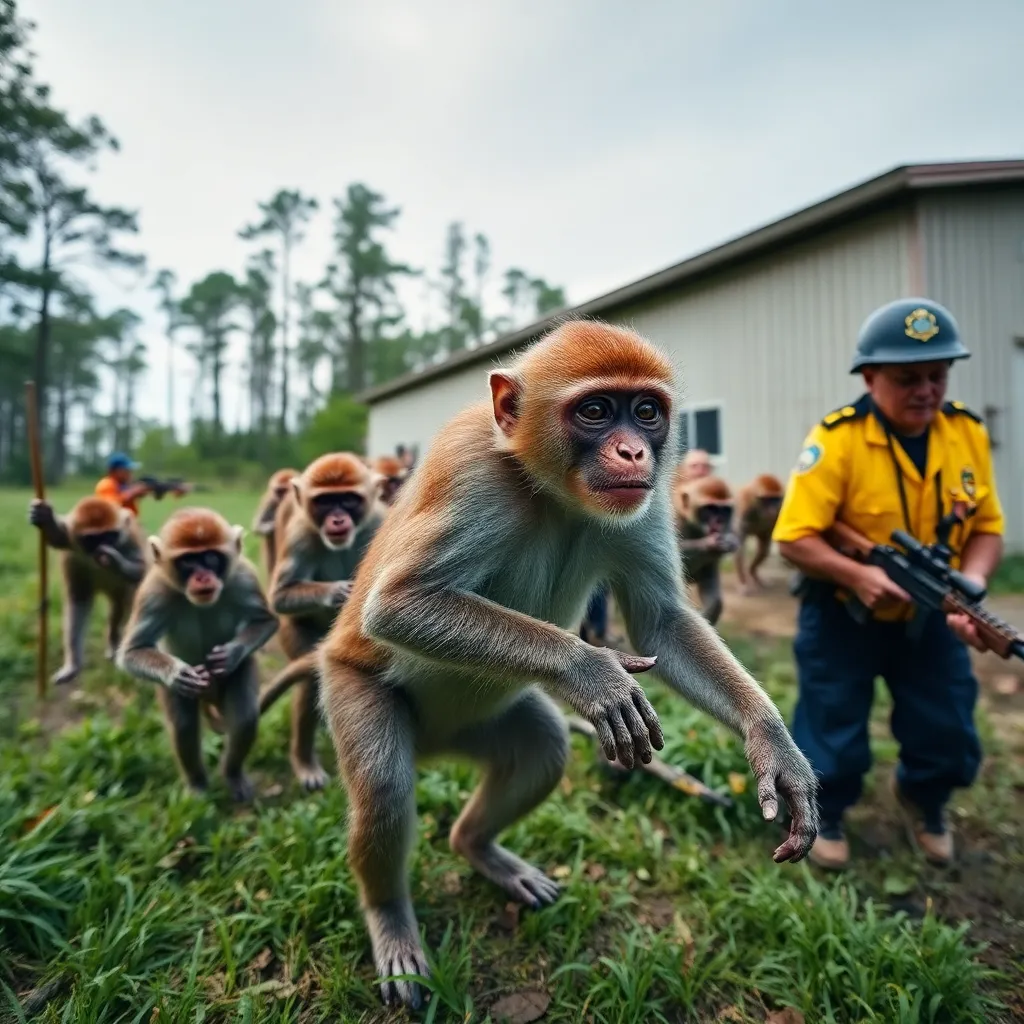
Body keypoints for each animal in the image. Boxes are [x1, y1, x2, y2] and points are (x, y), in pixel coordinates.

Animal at [28, 495, 147, 686]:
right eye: (92, 539)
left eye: (109, 536)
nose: (102, 547)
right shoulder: (72, 538)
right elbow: (59, 539)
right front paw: (44, 517)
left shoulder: (130, 537)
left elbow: (141, 569)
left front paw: (115, 560)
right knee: (79, 602)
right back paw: (75, 663)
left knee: (129, 598)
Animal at [116, 507, 278, 802]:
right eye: (189, 561)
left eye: (211, 557)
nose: (203, 577)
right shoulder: (153, 590)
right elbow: (133, 651)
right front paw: (177, 673)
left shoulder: (244, 576)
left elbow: (266, 621)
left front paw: (230, 654)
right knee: (184, 726)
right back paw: (197, 785)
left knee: (245, 717)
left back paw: (233, 774)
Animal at [269, 452, 385, 791]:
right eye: (324, 501)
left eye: (347, 499)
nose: (337, 519)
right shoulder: (300, 534)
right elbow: (280, 595)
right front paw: (340, 592)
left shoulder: (379, 521)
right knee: (309, 679)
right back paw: (304, 761)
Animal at [672, 475, 739, 626]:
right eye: (710, 509)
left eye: (724, 510)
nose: (719, 521)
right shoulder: (675, 518)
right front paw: (711, 544)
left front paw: (729, 542)